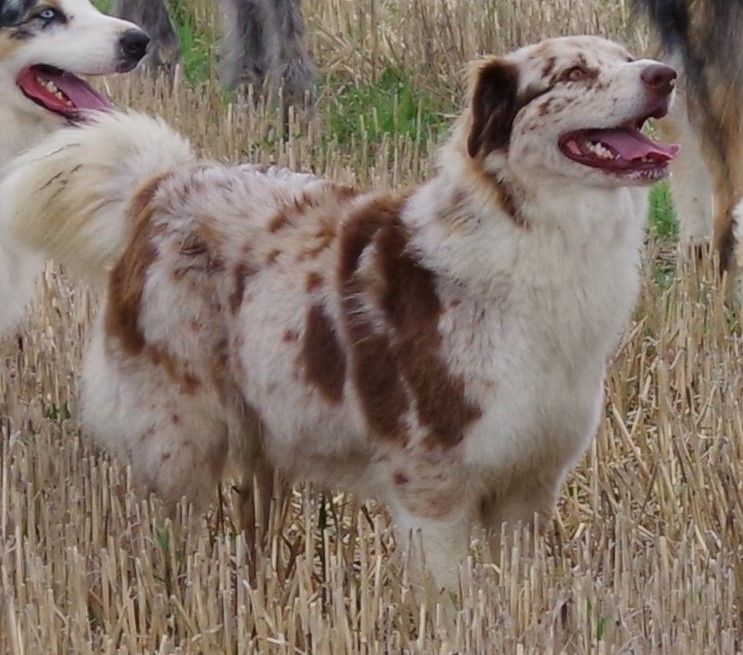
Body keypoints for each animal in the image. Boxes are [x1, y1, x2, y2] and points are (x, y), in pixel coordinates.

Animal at [0, 36, 680, 588]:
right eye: (572, 73)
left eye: (627, 57)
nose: (665, 74)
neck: (532, 240)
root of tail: (159, 184)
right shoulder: (431, 490)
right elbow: (451, 599)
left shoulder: (530, 486)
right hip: (180, 436)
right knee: (175, 531)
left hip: (265, 428)